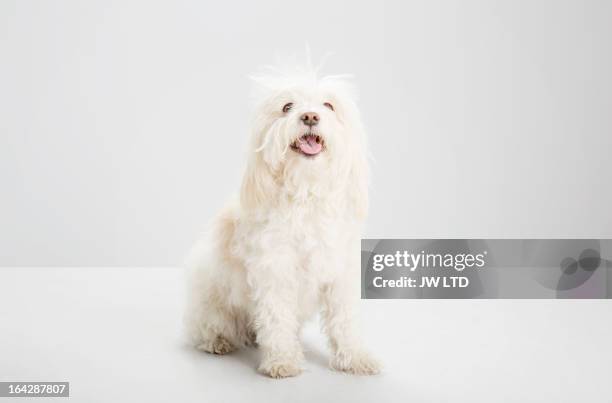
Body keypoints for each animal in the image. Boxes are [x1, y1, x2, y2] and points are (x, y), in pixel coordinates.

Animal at [184, 65, 380, 378]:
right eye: (287, 107)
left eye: (328, 105)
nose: (310, 116)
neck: (306, 193)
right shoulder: (274, 270)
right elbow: (276, 319)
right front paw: (283, 360)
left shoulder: (340, 272)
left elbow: (345, 320)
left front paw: (355, 357)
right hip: (212, 298)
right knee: (208, 326)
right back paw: (218, 341)